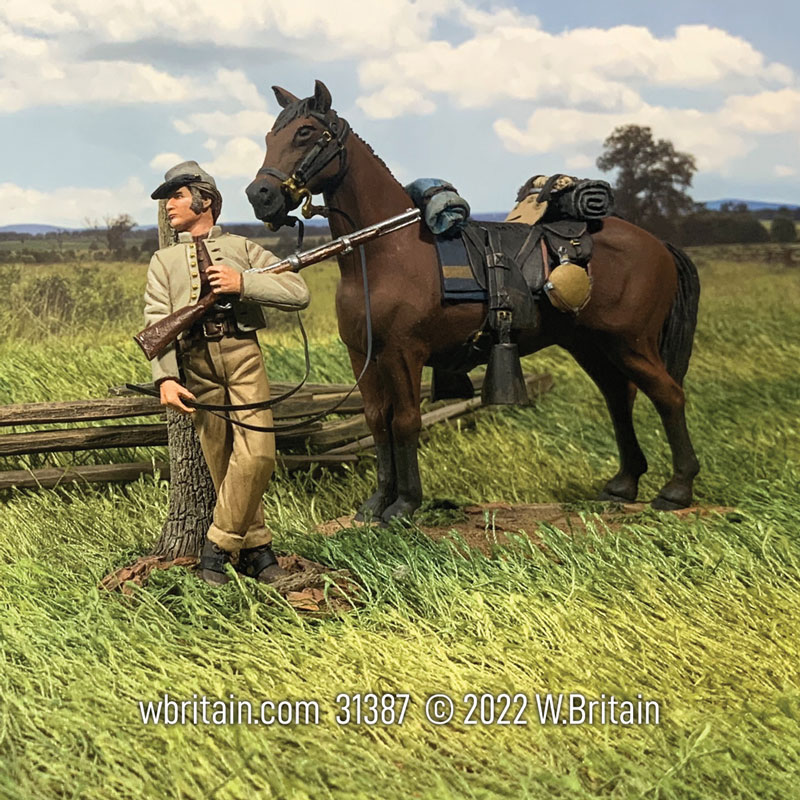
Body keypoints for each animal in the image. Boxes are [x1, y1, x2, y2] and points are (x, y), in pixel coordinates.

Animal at [244, 79, 700, 520]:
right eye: (269, 136)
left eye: (305, 133)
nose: (260, 195)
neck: (384, 253)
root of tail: (659, 245)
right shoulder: (363, 355)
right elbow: (376, 421)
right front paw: (374, 505)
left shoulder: (404, 353)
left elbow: (405, 421)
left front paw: (404, 505)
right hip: (592, 345)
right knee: (619, 397)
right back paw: (622, 485)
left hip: (631, 343)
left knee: (668, 396)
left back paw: (676, 491)